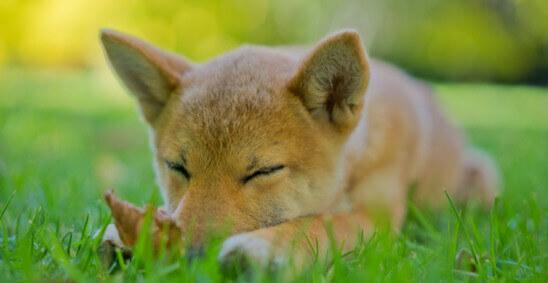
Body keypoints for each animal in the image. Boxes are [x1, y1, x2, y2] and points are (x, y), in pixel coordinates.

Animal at [98, 28, 500, 268]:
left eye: (263, 172)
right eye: (177, 167)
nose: (191, 258)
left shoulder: (379, 218)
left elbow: (314, 225)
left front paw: (262, 247)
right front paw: (130, 231)